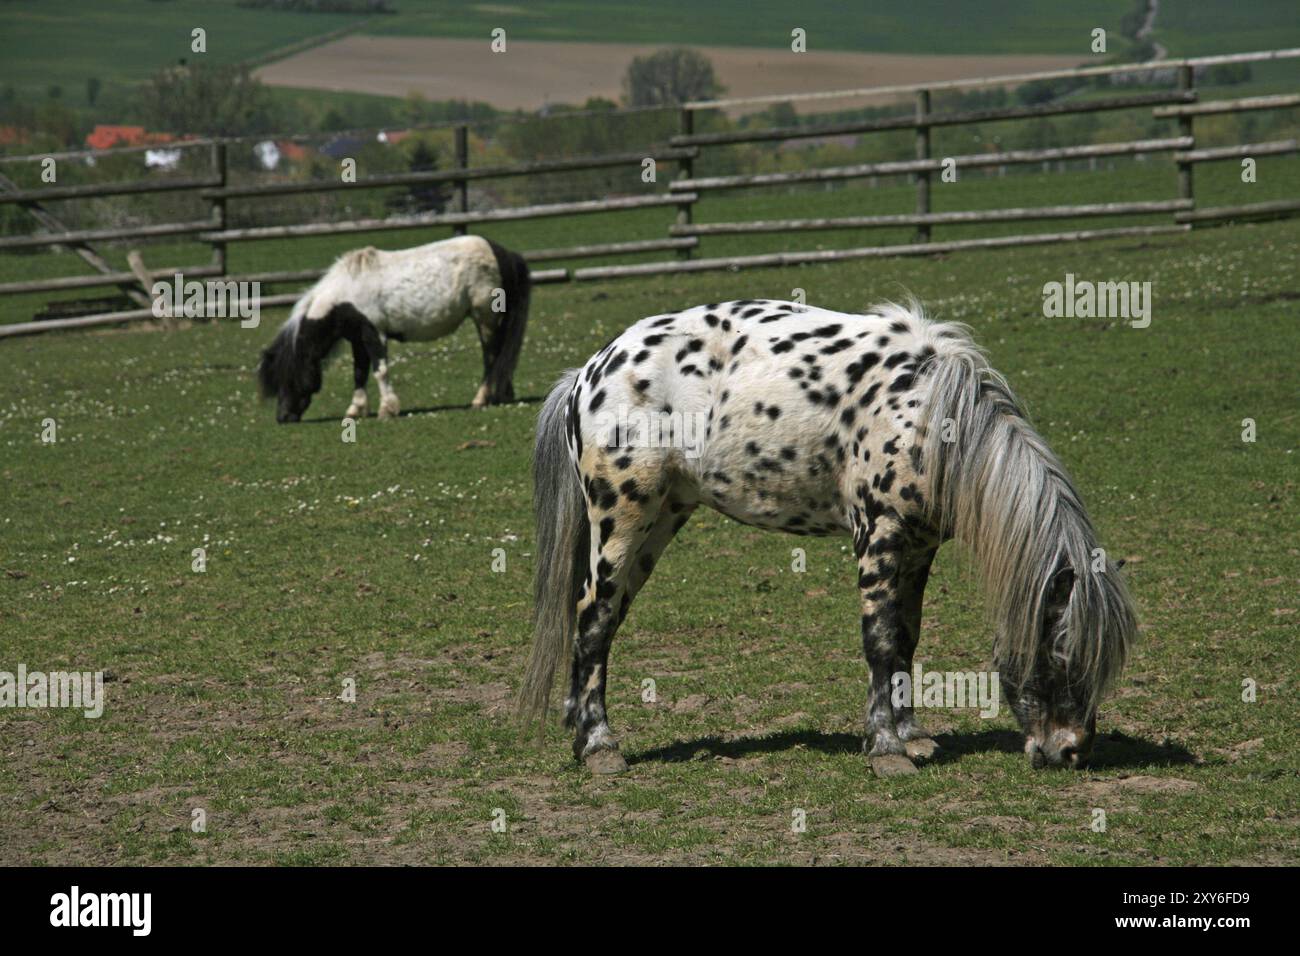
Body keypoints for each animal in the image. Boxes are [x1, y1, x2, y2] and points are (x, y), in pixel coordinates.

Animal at [256, 235, 530, 421]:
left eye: (288, 376)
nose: (282, 417)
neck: (347, 294)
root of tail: (504, 253)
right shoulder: (357, 339)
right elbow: (359, 373)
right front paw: (356, 409)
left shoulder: (374, 333)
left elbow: (380, 370)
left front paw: (387, 408)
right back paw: (503, 394)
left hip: (485, 319)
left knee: (492, 357)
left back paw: (481, 398)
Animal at [517, 299, 1138, 780]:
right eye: (1062, 652)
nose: (1072, 752)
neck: (928, 417)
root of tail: (589, 373)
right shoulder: (879, 538)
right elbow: (880, 641)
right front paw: (886, 750)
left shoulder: (918, 548)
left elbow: (906, 637)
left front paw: (912, 735)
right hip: (623, 524)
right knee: (594, 620)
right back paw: (599, 746)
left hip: (659, 522)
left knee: (602, 620)